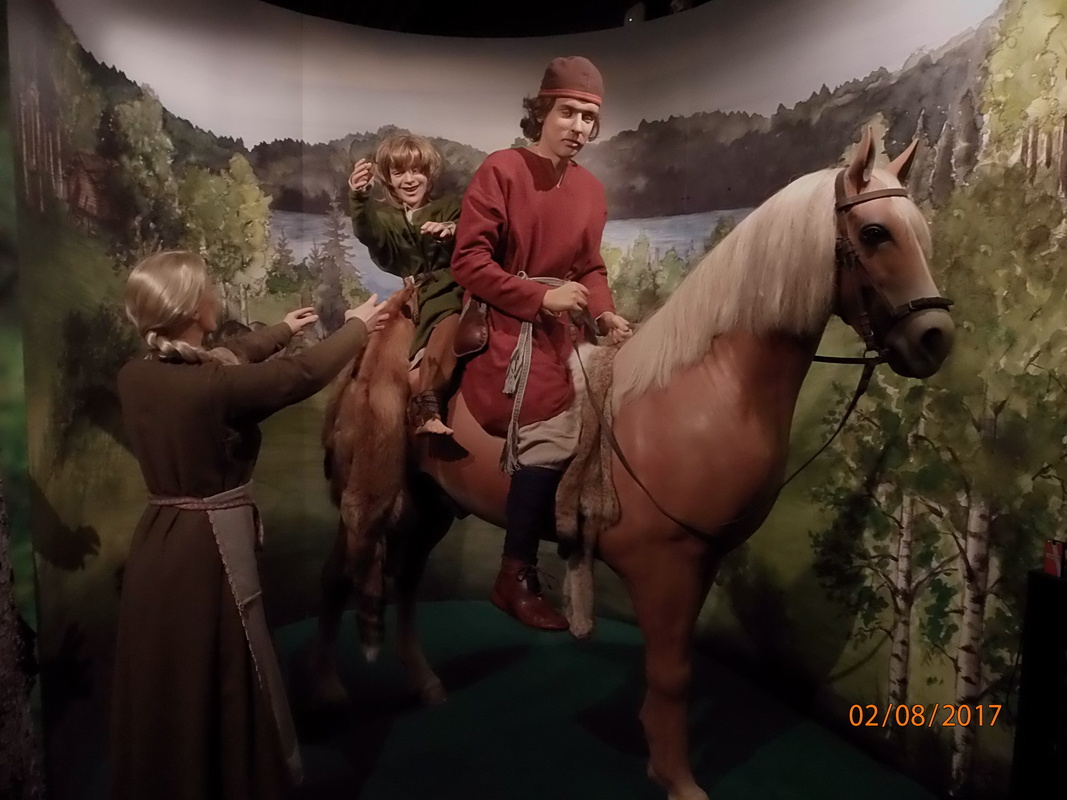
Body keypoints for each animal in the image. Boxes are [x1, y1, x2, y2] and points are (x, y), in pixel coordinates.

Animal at [308, 128, 955, 800]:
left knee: (406, 580)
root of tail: (377, 344)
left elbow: (673, 668)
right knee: (338, 576)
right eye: (875, 232)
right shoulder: (665, 567)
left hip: (431, 505)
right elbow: (672, 673)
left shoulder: (700, 561)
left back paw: (425, 683)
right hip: (374, 497)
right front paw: (679, 779)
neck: (703, 392)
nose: (935, 338)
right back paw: (328, 690)